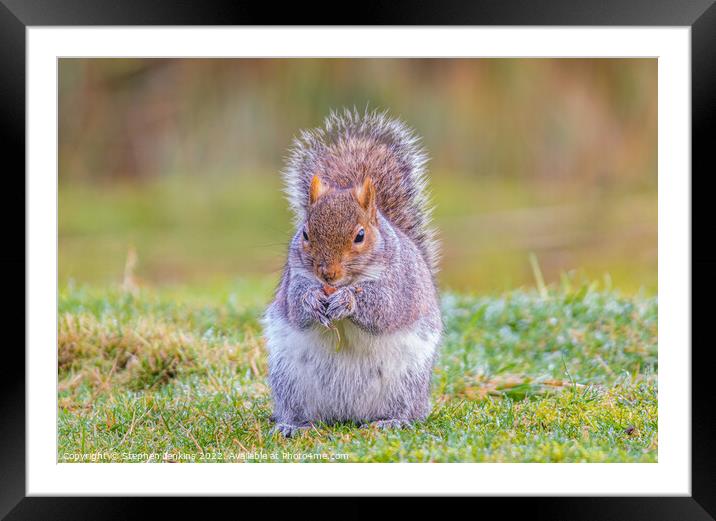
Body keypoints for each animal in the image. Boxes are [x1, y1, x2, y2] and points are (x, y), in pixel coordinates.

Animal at [262, 108, 442, 434]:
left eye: (360, 235)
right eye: (305, 233)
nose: (328, 274)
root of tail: (346, 415)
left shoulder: (397, 284)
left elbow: (383, 309)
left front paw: (348, 301)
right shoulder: (295, 278)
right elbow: (295, 305)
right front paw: (311, 300)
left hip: (407, 382)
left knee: (406, 410)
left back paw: (393, 421)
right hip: (289, 380)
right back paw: (293, 425)